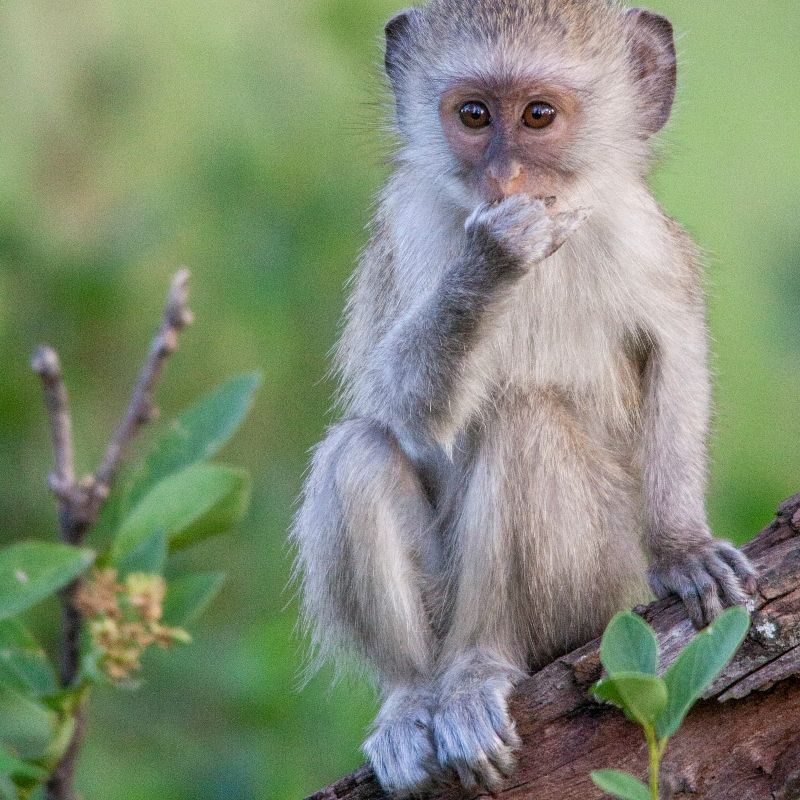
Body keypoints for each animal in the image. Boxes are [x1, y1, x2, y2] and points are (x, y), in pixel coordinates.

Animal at [291, 0, 758, 795]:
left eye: (539, 115)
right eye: (474, 115)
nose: (504, 177)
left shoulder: (642, 236)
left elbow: (675, 358)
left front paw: (683, 549)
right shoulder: (408, 224)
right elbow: (402, 410)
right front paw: (493, 258)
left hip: (598, 589)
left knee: (524, 422)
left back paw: (485, 665)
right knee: (358, 452)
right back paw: (418, 696)